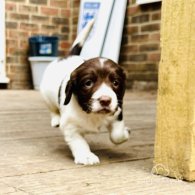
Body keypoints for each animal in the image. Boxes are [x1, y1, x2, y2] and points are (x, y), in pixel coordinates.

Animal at [40, 19, 130, 165]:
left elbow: (117, 135)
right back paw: (55, 119)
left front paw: (125, 133)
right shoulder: (70, 126)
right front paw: (86, 156)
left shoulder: (117, 111)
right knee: (52, 108)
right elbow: (79, 142)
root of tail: (69, 56)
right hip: (45, 94)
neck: (90, 112)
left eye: (116, 83)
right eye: (88, 83)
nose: (105, 100)